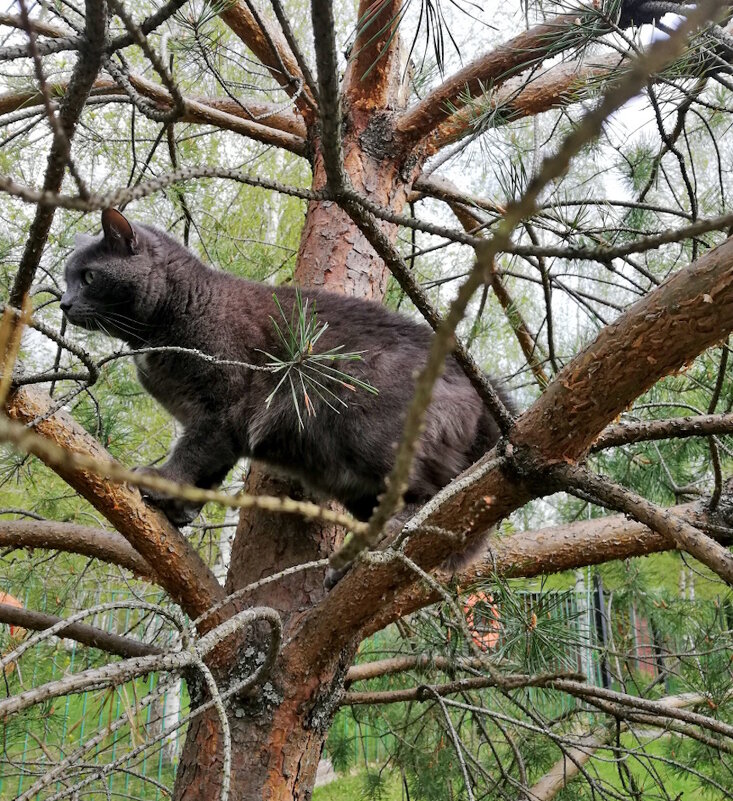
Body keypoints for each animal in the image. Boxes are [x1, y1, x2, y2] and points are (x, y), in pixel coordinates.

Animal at [61, 208, 508, 564]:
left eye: (88, 277)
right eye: (67, 279)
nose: (63, 303)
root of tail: (481, 382)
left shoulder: (220, 409)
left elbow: (191, 455)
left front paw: (161, 479)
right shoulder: (215, 426)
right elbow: (210, 468)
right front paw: (181, 508)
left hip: (374, 436)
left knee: (435, 497)